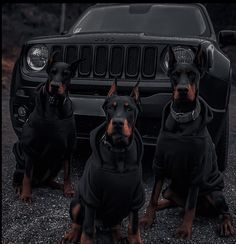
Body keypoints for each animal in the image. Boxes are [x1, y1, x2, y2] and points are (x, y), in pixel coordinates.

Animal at [12, 53, 84, 202]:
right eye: (52, 72)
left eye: (66, 74)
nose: (55, 86)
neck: (55, 105)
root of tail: (38, 182)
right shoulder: (30, 148)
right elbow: (27, 176)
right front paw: (26, 194)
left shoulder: (68, 149)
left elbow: (67, 174)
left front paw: (68, 189)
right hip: (20, 165)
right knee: (19, 178)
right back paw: (19, 188)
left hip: (56, 164)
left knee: (48, 180)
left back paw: (58, 185)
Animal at [61, 80, 145, 244]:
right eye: (110, 107)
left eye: (129, 108)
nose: (117, 123)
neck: (119, 152)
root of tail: (101, 224)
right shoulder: (91, 197)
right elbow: (87, 231)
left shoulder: (135, 200)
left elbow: (134, 228)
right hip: (78, 202)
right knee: (78, 222)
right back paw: (71, 235)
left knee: (114, 225)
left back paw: (118, 236)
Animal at [139, 44, 233, 239]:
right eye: (175, 74)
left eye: (193, 75)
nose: (182, 90)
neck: (182, 119)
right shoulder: (160, 165)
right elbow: (152, 197)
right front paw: (147, 219)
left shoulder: (197, 170)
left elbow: (190, 205)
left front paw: (184, 229)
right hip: (170, 189)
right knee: (170, 199)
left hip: (215, 194)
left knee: (223, 211)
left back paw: (226, 224)